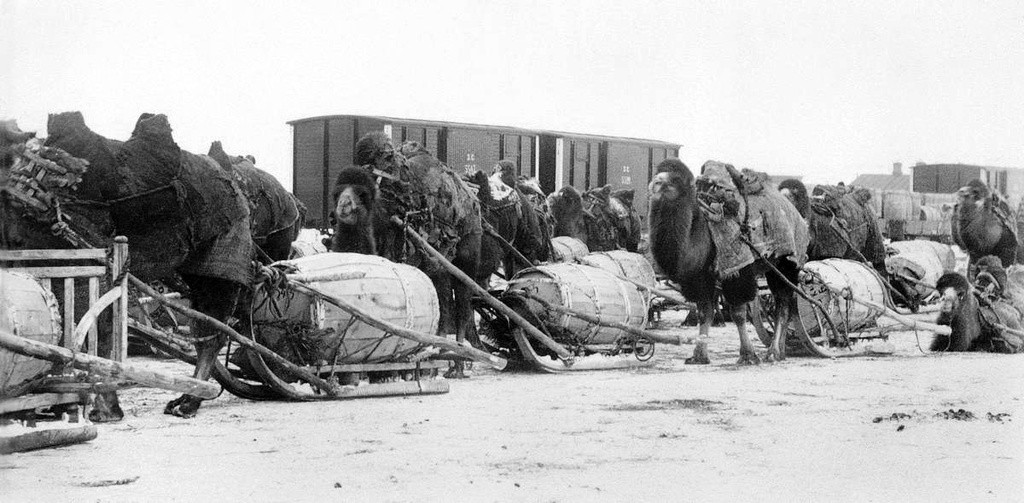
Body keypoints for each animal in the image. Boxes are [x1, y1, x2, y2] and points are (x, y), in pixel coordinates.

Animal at [647, 159, 806, 364]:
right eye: (657, 173)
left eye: (676, 180)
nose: (656, 182)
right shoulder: (700, 277)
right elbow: (704, 312)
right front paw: (698, 355)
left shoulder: (738, 269)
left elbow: (738, 312)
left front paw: (748, 355)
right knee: (783, 302)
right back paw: (782, 352)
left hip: (787, 262)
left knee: (783, 303)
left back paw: (773, 352)